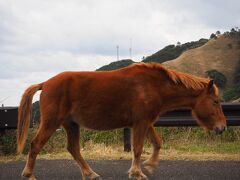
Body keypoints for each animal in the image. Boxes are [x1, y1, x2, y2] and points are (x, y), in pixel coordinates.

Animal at [17, 62, 226, 179]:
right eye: (215, 101)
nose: (222, 127)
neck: (153, 86)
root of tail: (45, 83)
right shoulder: (141, 123)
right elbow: (138, 148)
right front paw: (137, 172)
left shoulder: (146, 122)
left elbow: (157, 143)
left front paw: (149, 166)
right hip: (52, 122)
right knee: (36, 145)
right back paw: (28, 174)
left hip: (71, 124)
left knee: (73, 149)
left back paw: (90, 173)